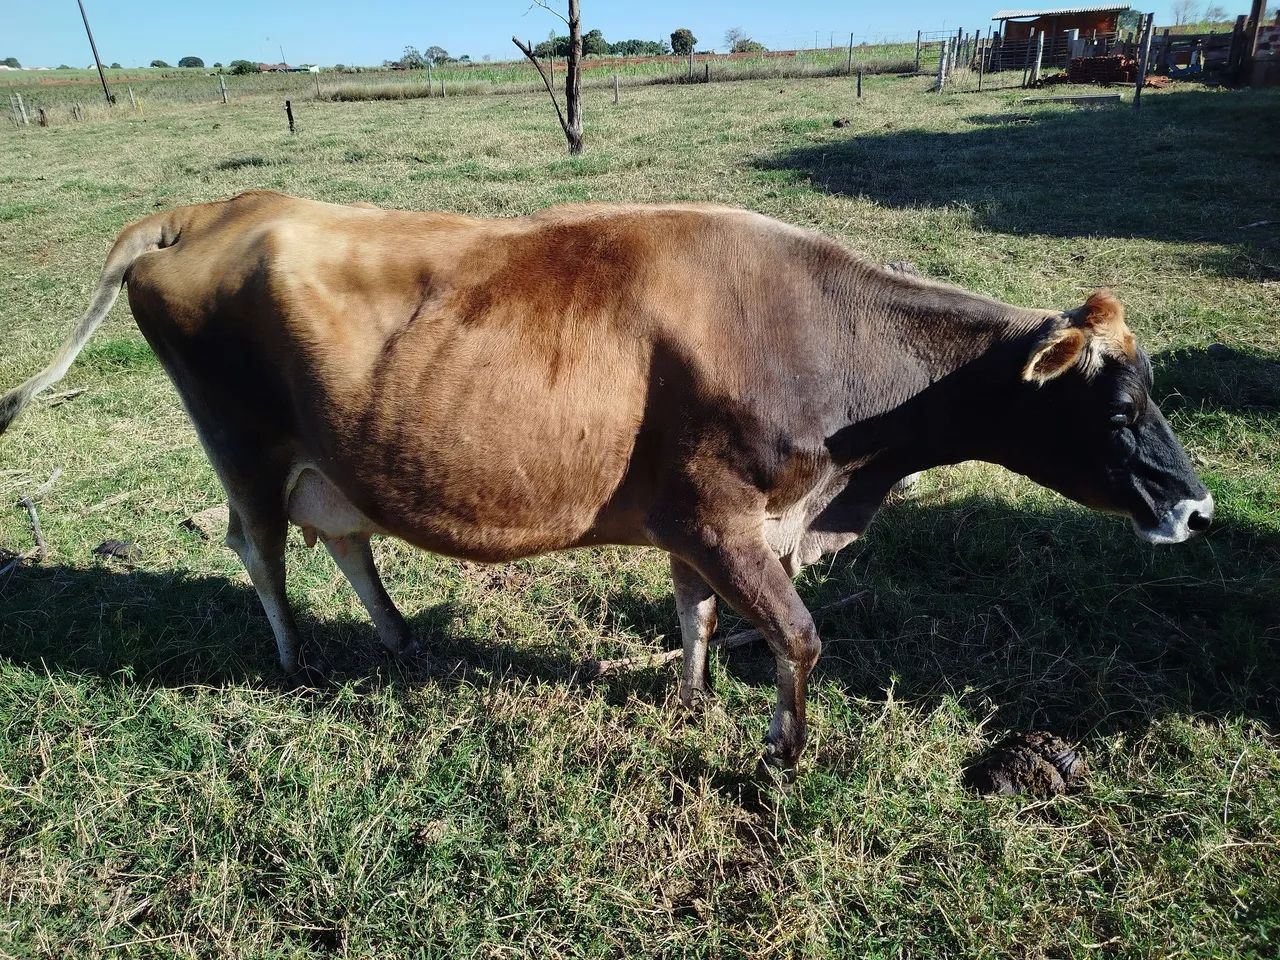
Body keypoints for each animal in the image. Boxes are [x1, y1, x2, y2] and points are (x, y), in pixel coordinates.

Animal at [0, 191, 1214, 773]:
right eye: (1119, 409)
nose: (1198, 507)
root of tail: (211, 211)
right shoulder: (720, 512)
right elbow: (797, 637)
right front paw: (780, 756)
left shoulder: (702, 521)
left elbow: (697, 617)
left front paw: (690, 701)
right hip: (241, 442)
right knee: (258, 548)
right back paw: (297, 662)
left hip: (327, 455)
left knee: (341, 536)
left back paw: (400, 639)